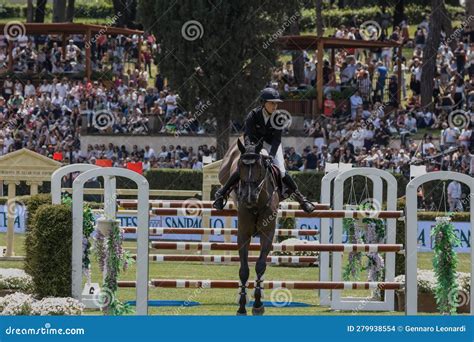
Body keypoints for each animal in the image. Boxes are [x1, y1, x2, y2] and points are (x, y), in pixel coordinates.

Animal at [218, 139, 280, 316]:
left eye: (259, 166)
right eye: (240, 166)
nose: (248, 196)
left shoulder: (267, 234)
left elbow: (260, 266)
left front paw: (258, 303)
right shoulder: (243, 235)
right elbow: (244, 270)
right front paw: (242, 305)